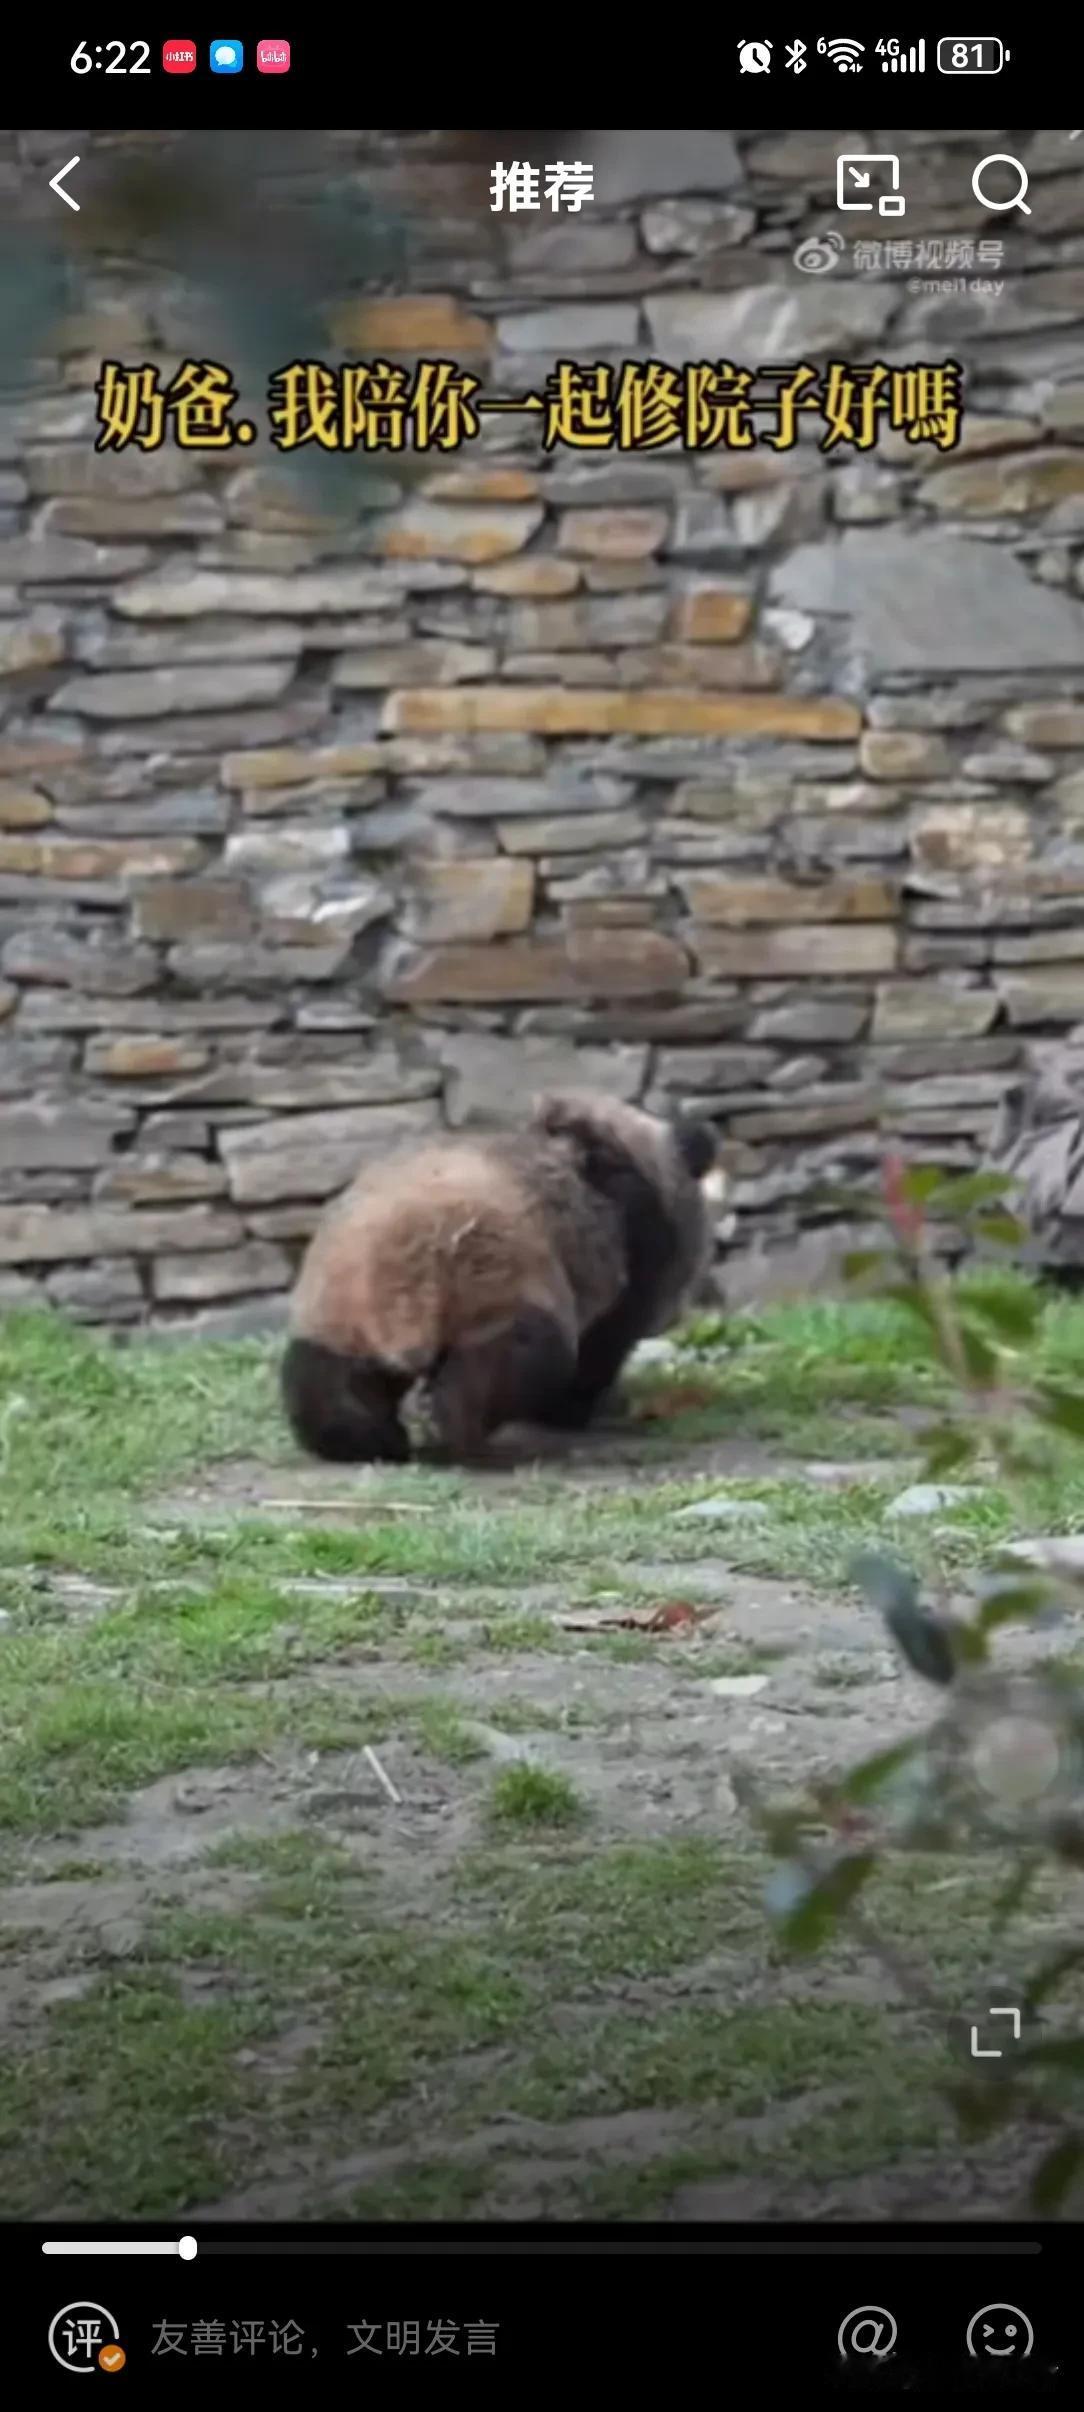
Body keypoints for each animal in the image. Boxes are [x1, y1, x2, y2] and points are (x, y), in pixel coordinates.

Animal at [278, 1095, 724, 1466]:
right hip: (497, 1284)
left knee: (326, 1377)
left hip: (339, 1308)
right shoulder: (633, 1241)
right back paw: (451, 1428)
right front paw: (572, 1411)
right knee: (515, 1359)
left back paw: (365, 1439)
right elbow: (605, 1340)